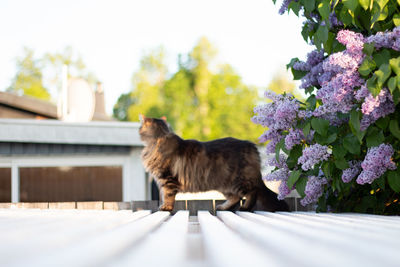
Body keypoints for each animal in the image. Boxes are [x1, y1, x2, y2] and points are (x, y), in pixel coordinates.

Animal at [139, 115, 290, 214]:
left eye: (140, 127)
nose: (139, 130)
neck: (158, 139)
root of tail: (251, 146)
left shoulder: (167, 179)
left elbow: (168, 196)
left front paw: (165, 208)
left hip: (239, 180)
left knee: (252, 193)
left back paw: (245, 208)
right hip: (225, 185)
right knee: (235, 198)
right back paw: (223, 207)